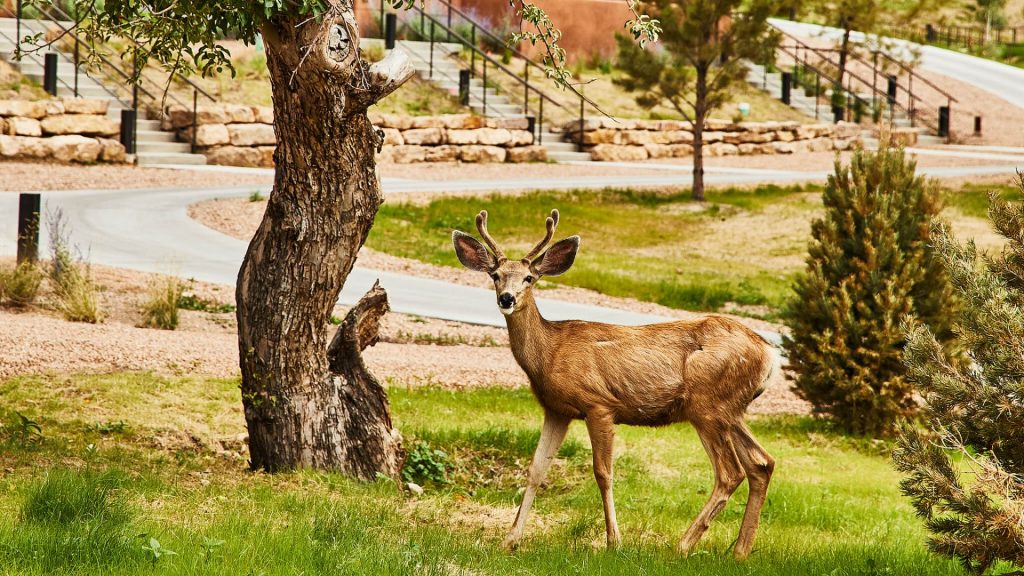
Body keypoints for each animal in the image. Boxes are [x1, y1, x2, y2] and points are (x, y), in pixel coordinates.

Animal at [451, 209, 778, 560]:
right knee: (761, 463)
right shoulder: (557, 410)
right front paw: (510, 540)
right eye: (495, 275)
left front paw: (613, 541)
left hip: (708, 404)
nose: (507, 298)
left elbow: (603, 473)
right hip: (731, 410)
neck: (551, 352)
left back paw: (682, 545)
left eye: (529, 278)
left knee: (731, 472)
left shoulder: (599, 404)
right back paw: (740, 551)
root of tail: (769, 353)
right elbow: (536, 469)